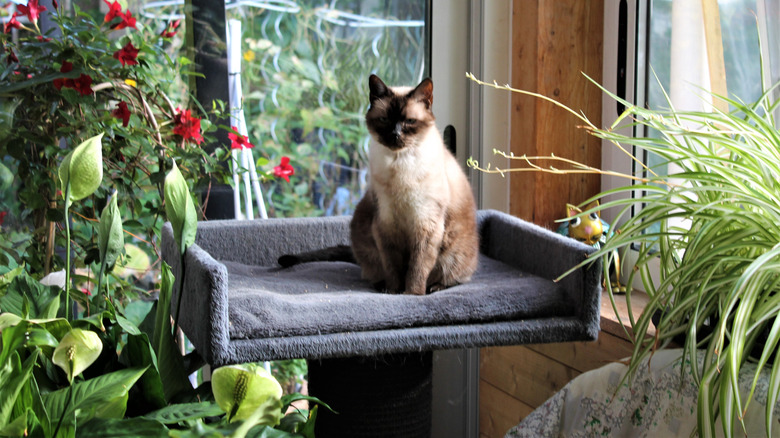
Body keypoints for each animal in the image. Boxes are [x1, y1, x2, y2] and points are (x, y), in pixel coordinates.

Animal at [278, 75, 478, 296]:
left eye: (409, 121)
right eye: (384, 120)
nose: (395, 135)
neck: (400, 163)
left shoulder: (425, 223)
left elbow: (417, 268)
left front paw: (412, 294)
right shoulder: (386, 222)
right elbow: (392, 266)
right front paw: (393, 292)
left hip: (453, 254)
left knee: (453, 277)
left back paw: (434, 288)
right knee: (373, 270)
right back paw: (381, 286)